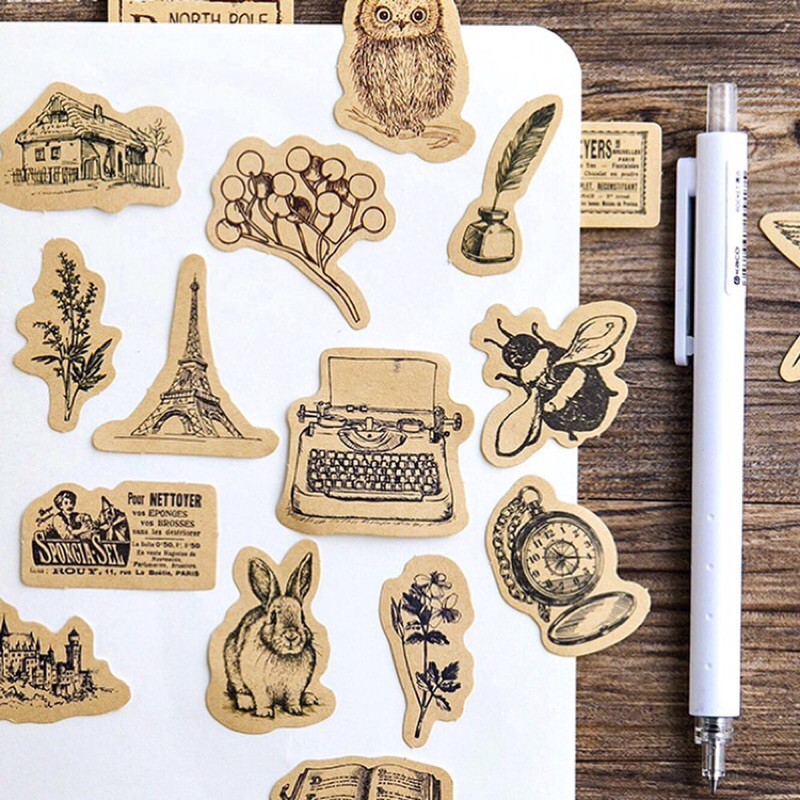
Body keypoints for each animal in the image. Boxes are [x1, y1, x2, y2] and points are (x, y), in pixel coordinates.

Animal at [223, 552, 319, 718]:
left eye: (302, 617)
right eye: (273, 617)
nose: (291, 636)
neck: (284, 655)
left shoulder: (296, 685)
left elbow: (293, 698)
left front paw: (295, 709)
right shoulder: (259, 685)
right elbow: (263, 699)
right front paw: (264, 712)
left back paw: (309, 698)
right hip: (232, 668)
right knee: (239, 690)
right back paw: (246, 704)